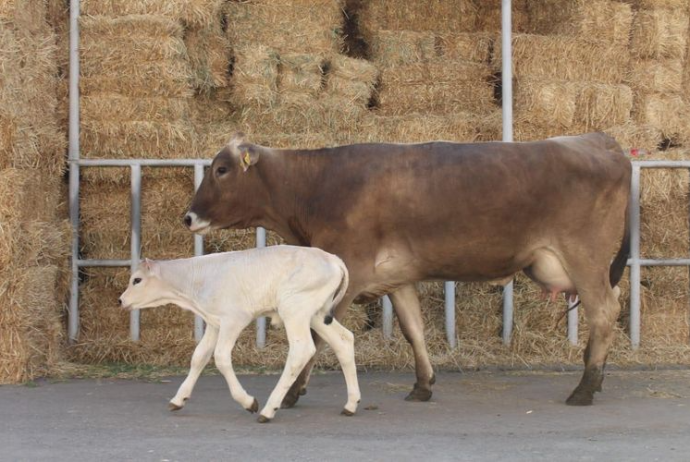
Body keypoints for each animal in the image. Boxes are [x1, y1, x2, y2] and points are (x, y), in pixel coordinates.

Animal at [117, 245, 360, 422]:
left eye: (136, 280)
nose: (120, 300)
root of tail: (332, 258)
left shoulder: (234, 319)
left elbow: (221, 358)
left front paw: (248, 402)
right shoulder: (214, 322)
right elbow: (199, 357)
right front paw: (179, 399)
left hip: (295, 310)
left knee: (301, 351)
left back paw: (268, 410)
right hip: (317, 314)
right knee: (343, 340)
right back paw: (351, 404)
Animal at [183, 133, 628, 408]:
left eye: (221, 169)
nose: (188, 217)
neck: (317, 186)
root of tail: (598, 140)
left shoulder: (347, 277)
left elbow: (316, 337)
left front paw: (291, 393)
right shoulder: (397, 279)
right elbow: (414, 330)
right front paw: (422, 385)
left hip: (584, 257)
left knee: (604, 311)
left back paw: (586, 387)